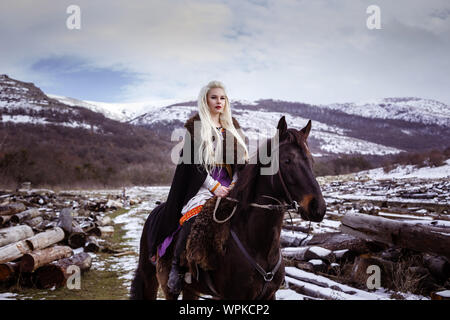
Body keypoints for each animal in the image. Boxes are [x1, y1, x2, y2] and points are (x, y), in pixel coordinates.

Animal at [130, 117, 326, 300]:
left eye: (311, 161)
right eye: (287, 161)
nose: (318, 207)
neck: (258, 246)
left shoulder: (269, 295)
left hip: (191, 289)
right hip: (158, 282)